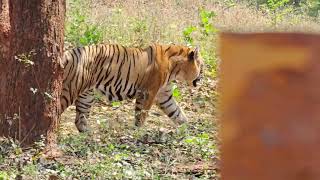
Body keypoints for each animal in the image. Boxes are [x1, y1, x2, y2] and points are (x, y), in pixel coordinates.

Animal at [61, 43, 204, 131]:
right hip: (69, 90)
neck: (176, 70)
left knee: (80, 119)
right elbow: (142, 114)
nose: (203, 76)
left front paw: (189, 130)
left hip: (86, 95)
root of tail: (68, 54)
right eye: (202, 66)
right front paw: (137, 132)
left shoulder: (164, 95)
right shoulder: (149, 92)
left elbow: (177, 112)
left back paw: (88, 135)